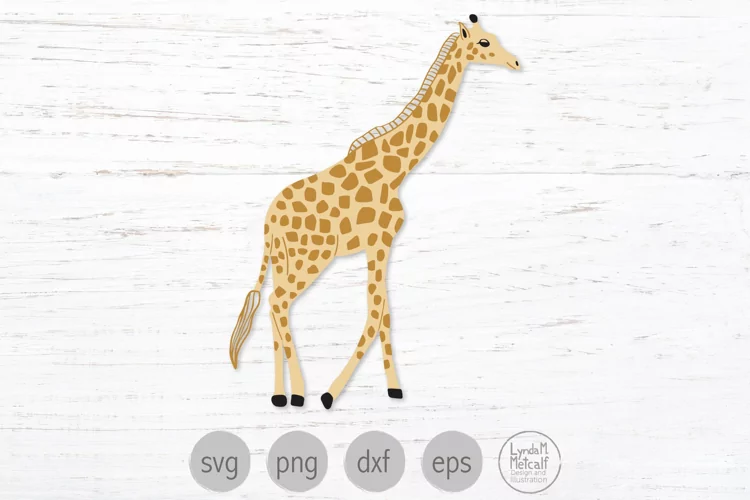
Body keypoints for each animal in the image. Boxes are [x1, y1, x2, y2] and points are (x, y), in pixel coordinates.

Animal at [229, 14, 520, 409]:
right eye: (485, 42)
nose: (516, 62)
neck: (398, 168)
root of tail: (269, 221)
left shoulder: (377, 245)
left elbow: (384, 315)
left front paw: (393, 388)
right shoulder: (381, 240)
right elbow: (376, 312)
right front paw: (330, 394)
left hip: (285, 259)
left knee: (276, 307)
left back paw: (279, 395)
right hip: (312, 257)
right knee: (278, 303)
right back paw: (301, 393)